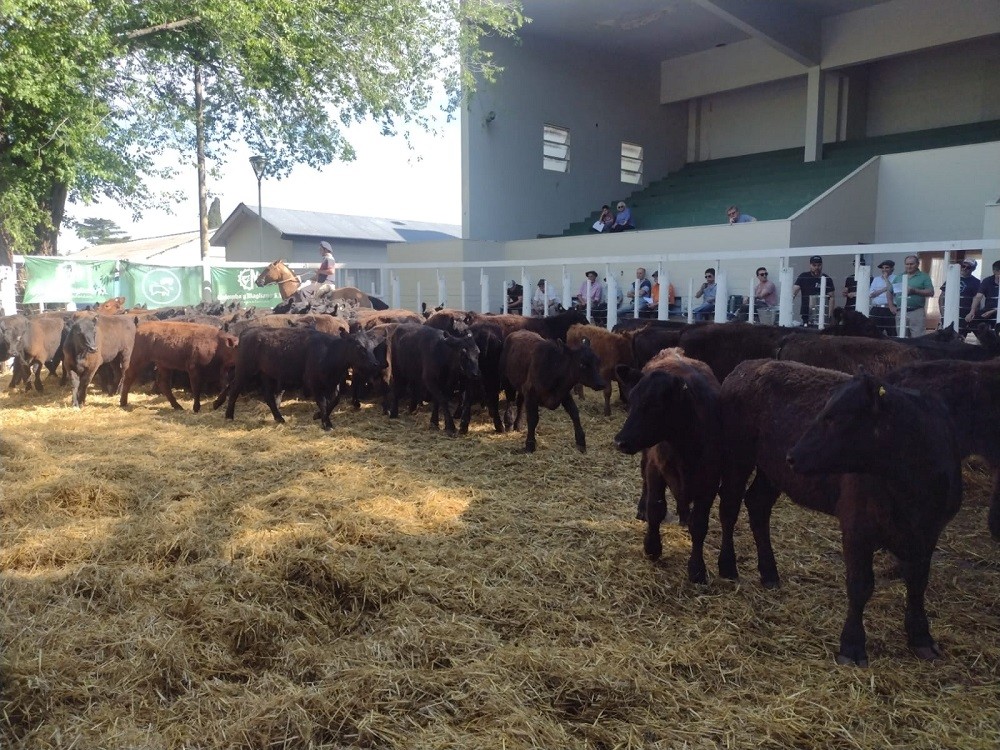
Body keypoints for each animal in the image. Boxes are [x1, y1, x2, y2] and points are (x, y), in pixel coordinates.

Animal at [613, 348, 722, 584]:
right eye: (632, 399)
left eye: (655, 405)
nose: (620, 441)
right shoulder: (655, 469)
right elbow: (656, 509)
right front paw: (652, 547)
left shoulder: (710, 481)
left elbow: (699, 525)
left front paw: (697, 569)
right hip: (646, 457)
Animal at [786, 371, 962, 666]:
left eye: (836, 418)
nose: (791, 456)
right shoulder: (856, 528)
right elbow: (860, 586)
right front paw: (852, 644)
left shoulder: (928, 534)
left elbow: (917, 584)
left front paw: (921, 636)